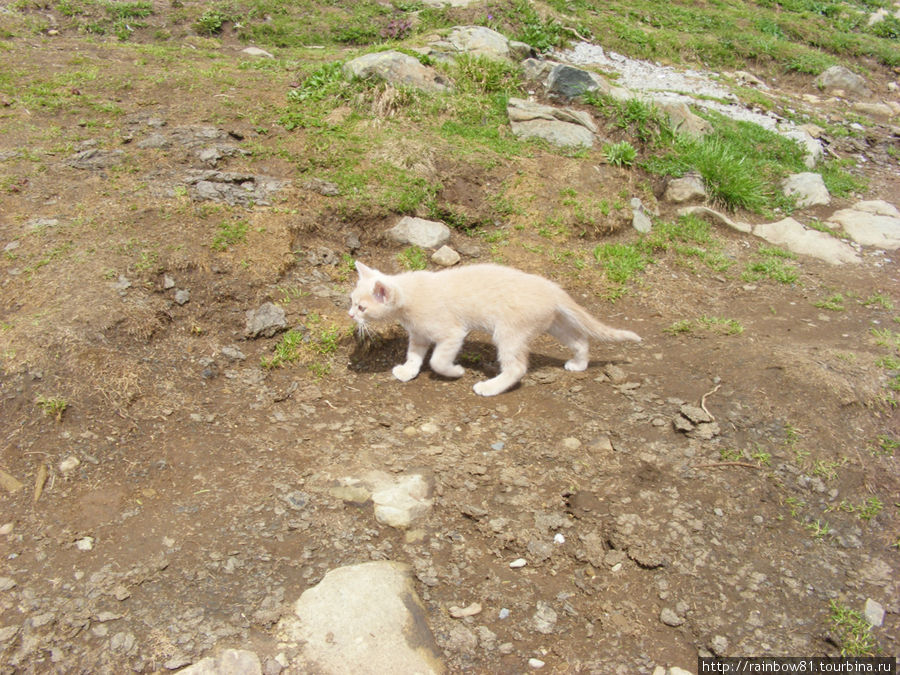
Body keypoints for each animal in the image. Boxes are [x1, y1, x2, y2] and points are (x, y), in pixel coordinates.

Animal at [350, 258, 640, 396]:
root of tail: (552, 288)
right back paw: (579, 364)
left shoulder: (452, 333)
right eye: (352, 301)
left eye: (362, 307)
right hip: (552, 324)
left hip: (509, 332)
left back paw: (490, 387)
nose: (351, 315)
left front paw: (455, 371)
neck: (410, 296)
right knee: (579, 339)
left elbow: (437, 361)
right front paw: (408, 371)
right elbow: (414, 355)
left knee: (517, 367)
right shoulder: (419, 334)